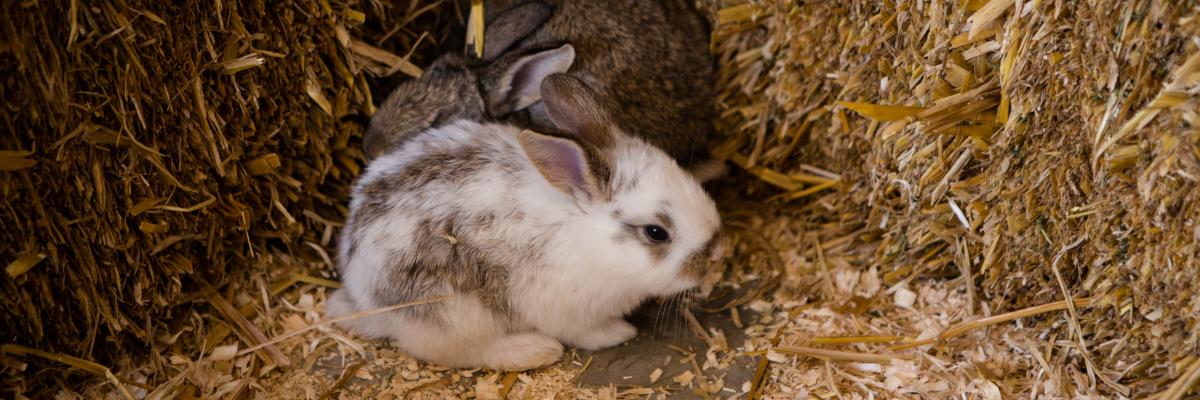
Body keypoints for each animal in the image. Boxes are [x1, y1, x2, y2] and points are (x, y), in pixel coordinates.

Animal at [327, 74, 722, 371]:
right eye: (656, 233)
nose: (717, 254)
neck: (587, 238)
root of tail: (361, 292)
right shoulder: (569, 311)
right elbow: (587, 333)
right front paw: (618, 332)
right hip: (452, 311)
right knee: (452, 351)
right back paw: (535, 350)